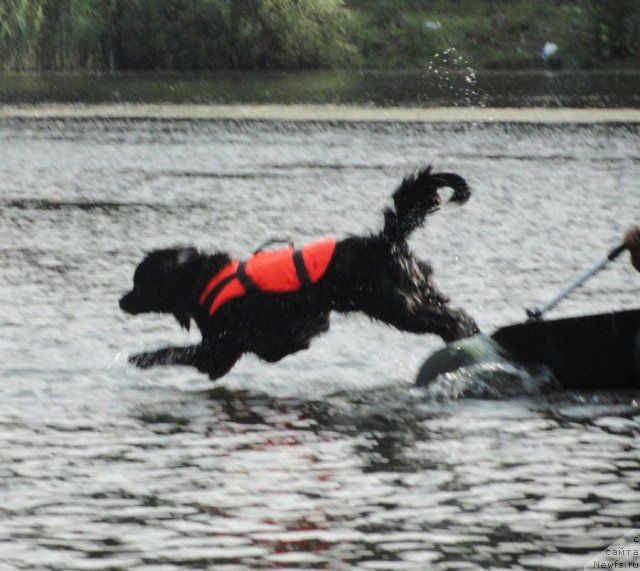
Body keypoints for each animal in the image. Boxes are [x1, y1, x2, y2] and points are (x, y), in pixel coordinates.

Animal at [121, 165, 480, 380]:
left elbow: (171, 352)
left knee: (451, 319)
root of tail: (385, 240)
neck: (204, 280)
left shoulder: (219, 350)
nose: (121, 301)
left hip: (397, 304)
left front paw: (139, 358)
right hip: (416, 292)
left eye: (139, 282)